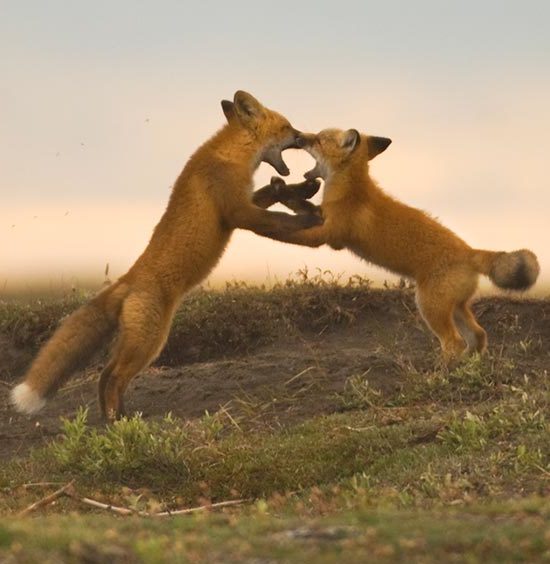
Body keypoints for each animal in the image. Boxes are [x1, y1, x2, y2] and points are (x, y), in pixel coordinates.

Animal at [10, 91, 324, 418]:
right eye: (288, 127)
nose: (305, 137)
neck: (232, 155)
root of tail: (128, 279)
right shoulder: (237, 212)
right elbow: (277, 221)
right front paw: (309, 219)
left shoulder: (243, 202)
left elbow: (270, 193)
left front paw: (301, 190)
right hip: (149, 341)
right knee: (113, 376)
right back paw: (119, 421)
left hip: (139, 341)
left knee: (105, 375)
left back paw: (116, 418)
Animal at [266, 129, 540, 362]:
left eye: (319, 139)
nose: (298, 136)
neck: (349, 189)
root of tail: (469, 251)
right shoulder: (320, 216)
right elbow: (297, 205)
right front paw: (280, 192)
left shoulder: (327, 235)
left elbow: (289, 235)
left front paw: (264, 228)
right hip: (456, 308)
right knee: (478, 335)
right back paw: (469, 365)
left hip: (429, 307)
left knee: (454, 342)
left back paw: (440, 375)